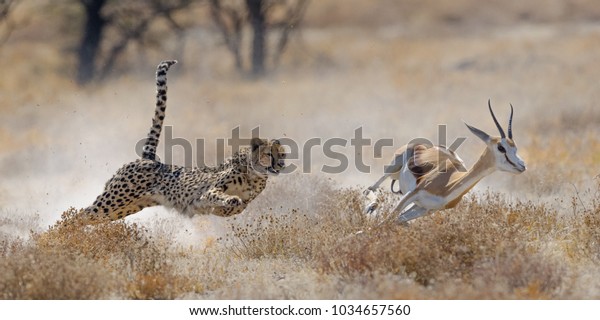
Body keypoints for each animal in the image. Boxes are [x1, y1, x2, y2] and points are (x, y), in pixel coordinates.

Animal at [84, 60, 286, 221]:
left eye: (283, 155)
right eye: (269, 154)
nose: (281, 165)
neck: (254, 174)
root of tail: (149, 159)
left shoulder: (239, 203)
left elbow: (237, 207)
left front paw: (228, 205)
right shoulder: (209, 191)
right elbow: (220, 196)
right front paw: (230, 200)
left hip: (122, 208)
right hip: (113, 201)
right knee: (79, 215)